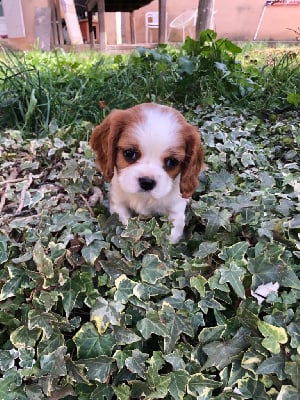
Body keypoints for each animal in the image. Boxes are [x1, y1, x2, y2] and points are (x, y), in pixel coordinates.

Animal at [90, 101, 205, 242]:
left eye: (172, 162)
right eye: (129, 153)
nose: (147, 182)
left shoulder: (176, 210)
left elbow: (171, 236)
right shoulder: (118, 203)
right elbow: (124, 224)